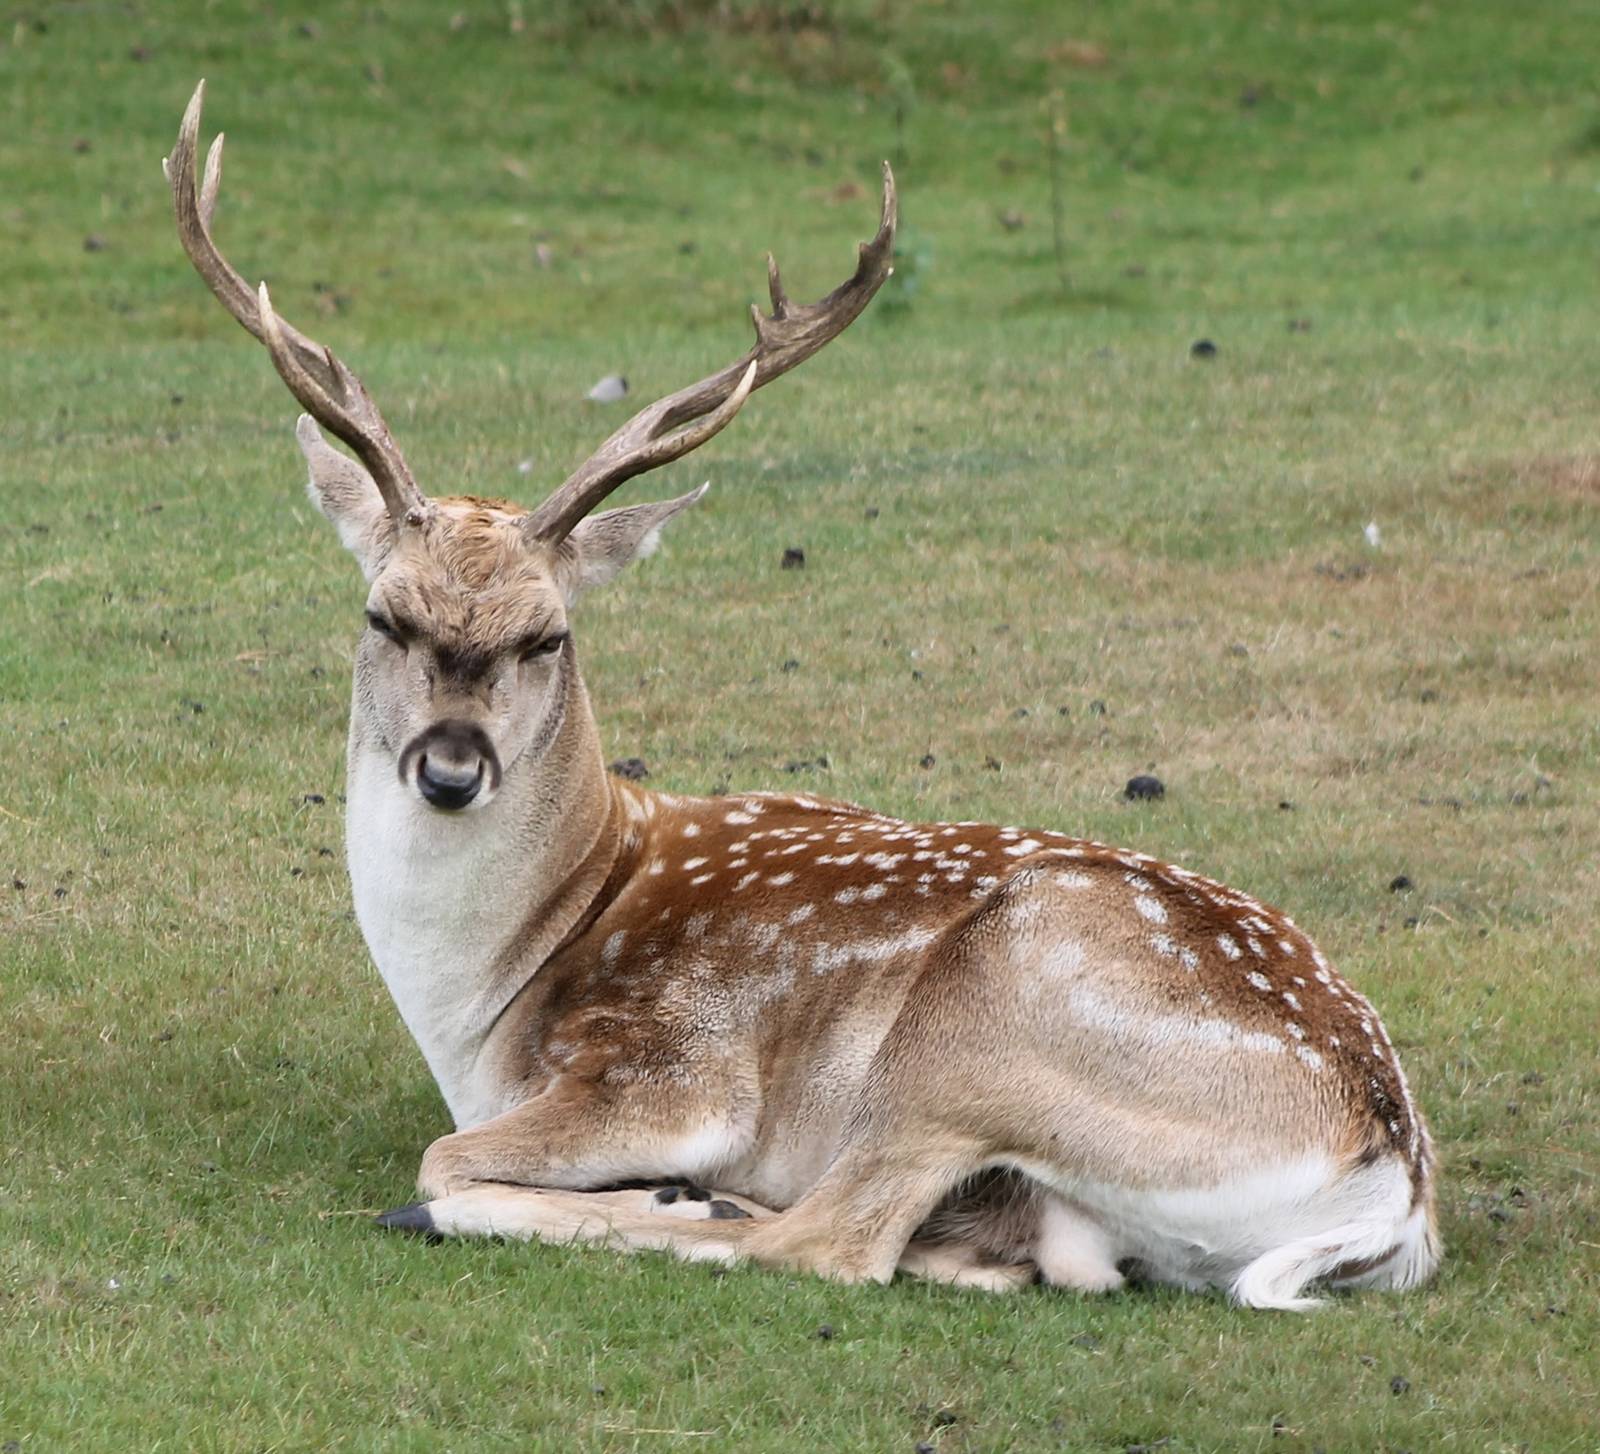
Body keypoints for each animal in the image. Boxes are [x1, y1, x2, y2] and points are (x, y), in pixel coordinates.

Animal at [165, 81, 1439, 1310]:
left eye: (548, 634)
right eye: (383, 614)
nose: (448, 766)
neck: (489, 991)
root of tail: (1394, 1190)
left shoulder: (673, 1067)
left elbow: (445, 1152)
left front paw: (650, 1186)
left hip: (968, 1038)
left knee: (827, 1238)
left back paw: (675, 1205)